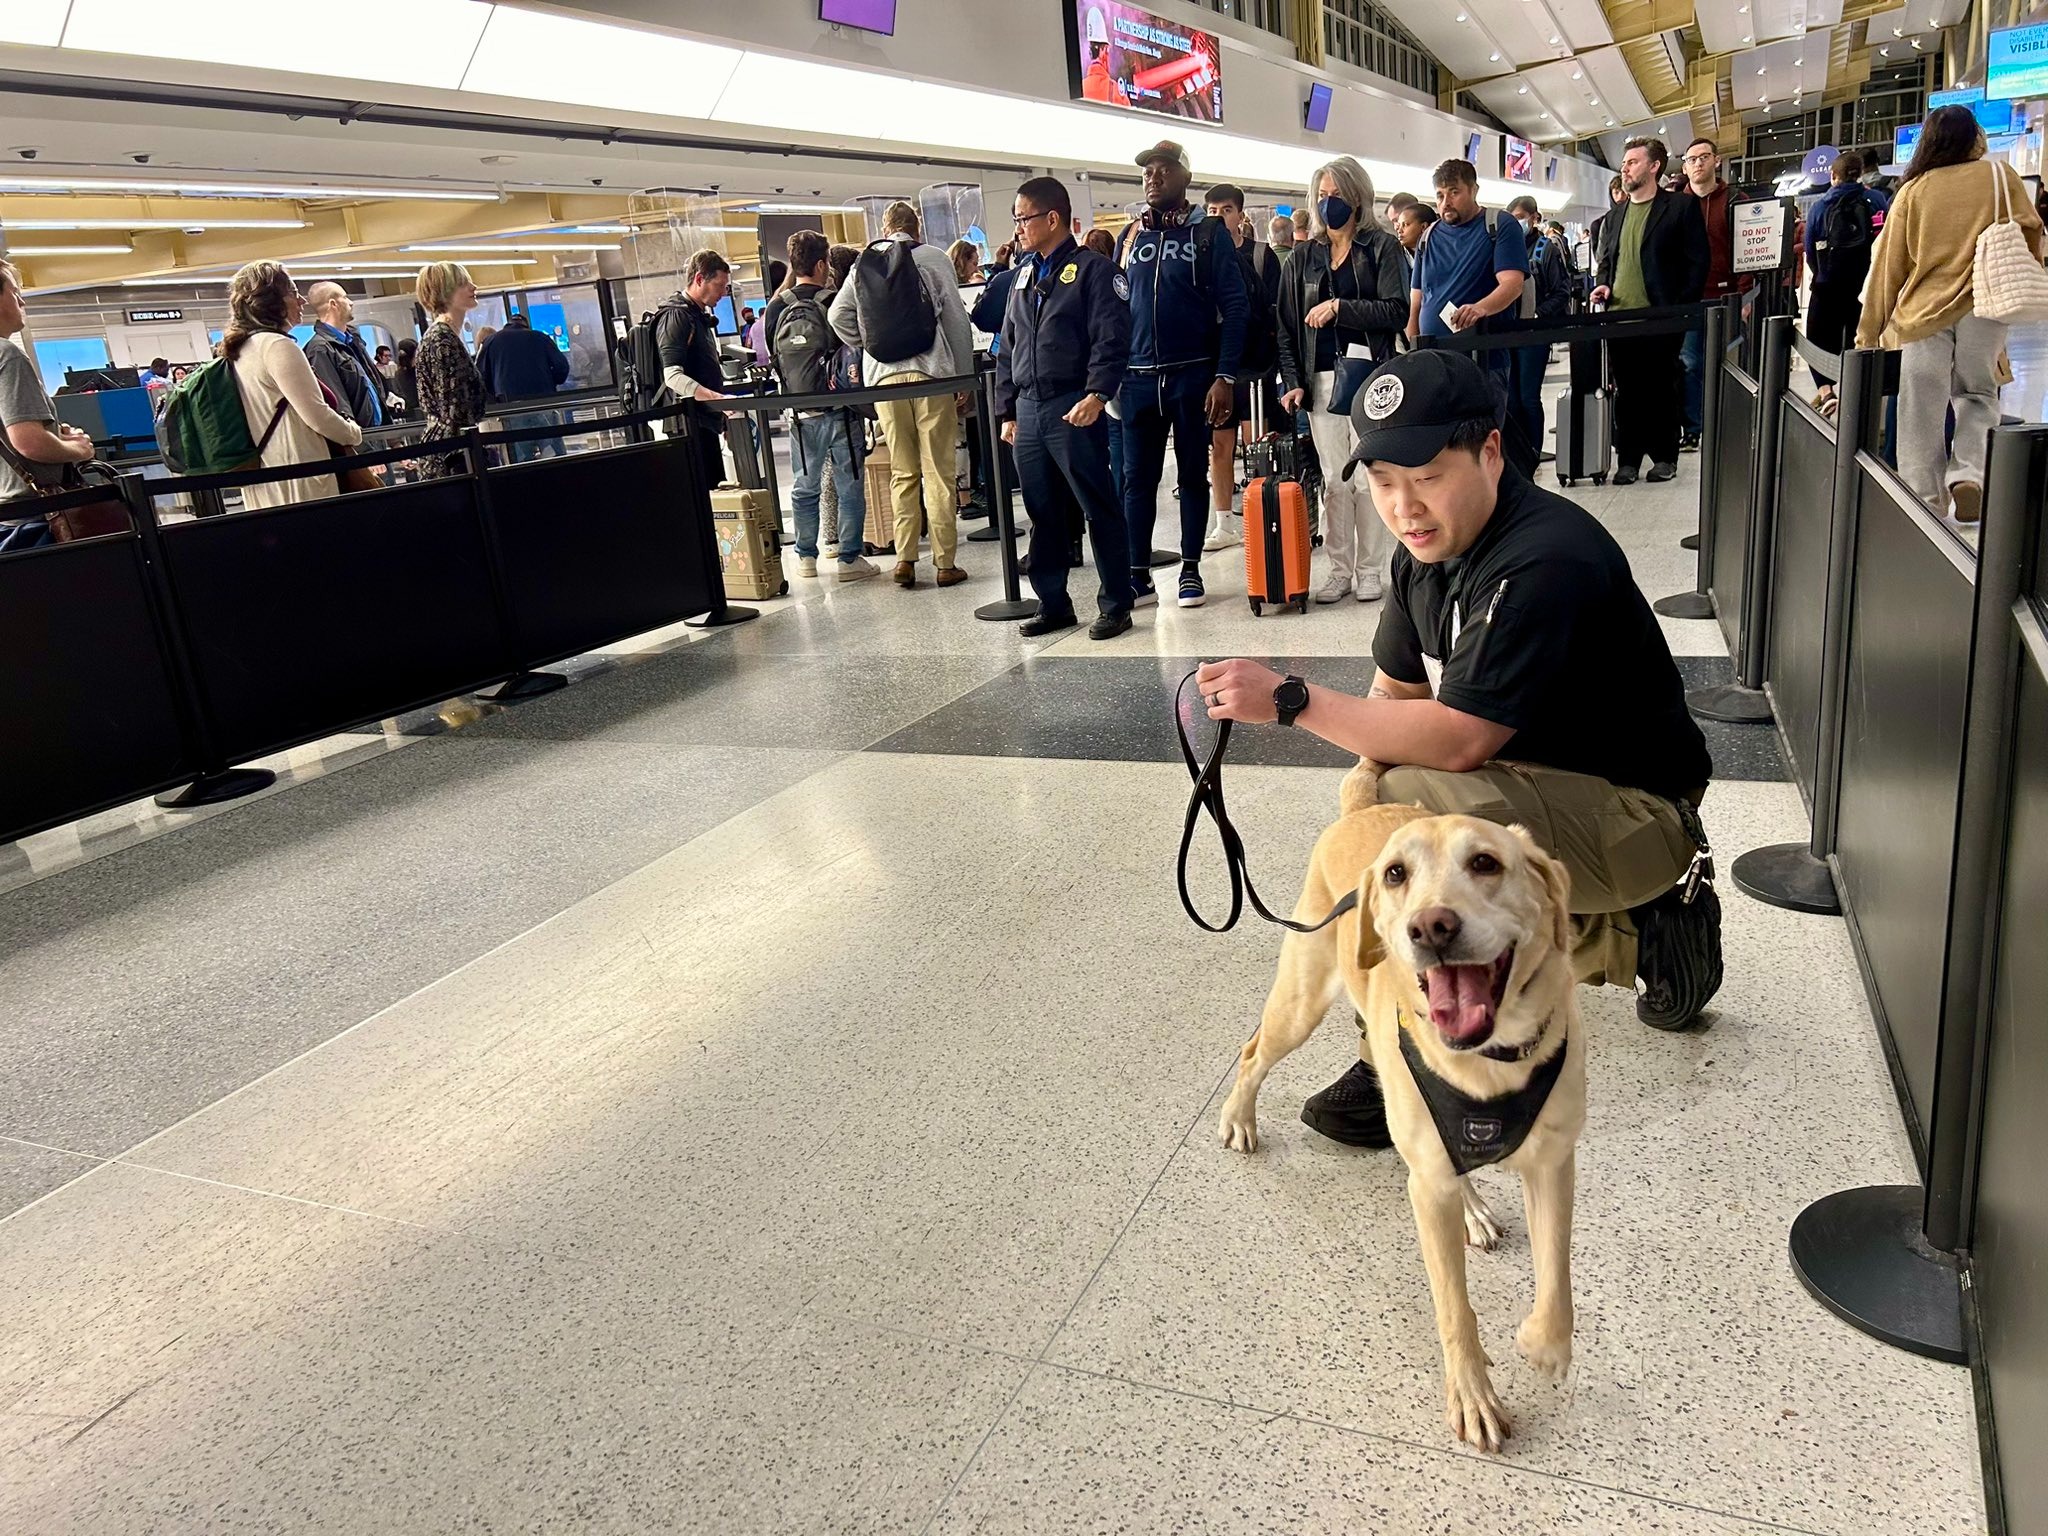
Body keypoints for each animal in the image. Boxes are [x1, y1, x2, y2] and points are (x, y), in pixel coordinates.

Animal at [1212, 770, 1581, 1458]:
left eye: (1485, 863)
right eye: (1395, 875)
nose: (1430, 927)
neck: (1486, 1065)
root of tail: (1364, 808)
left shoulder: (1553, 1164)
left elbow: (1557, 1278)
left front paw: (1544, 1344)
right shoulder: (1428, 1190)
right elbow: (1454, 1308)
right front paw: (1473, 1396)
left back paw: (1473, 1210)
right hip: (1301, 1002)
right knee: (1252, 1052)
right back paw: (1239, 1118)